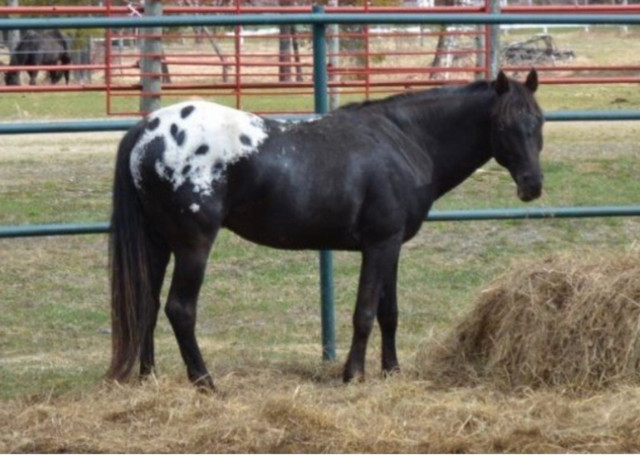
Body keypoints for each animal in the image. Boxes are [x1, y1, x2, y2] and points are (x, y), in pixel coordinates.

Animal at [106, 69, 544, 390]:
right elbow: (365, 312)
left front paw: (392, 371)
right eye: (503, 124)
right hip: (193, 245)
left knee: (146, 304)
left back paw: (149, 378)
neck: (404, 140)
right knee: (180, 309)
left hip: (158, 243)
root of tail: (146, 130)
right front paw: (353, 375)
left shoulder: (392, 246)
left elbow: (389, 312)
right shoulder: (379, 244)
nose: (533, 185)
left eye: (538, 121)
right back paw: (206, 383)